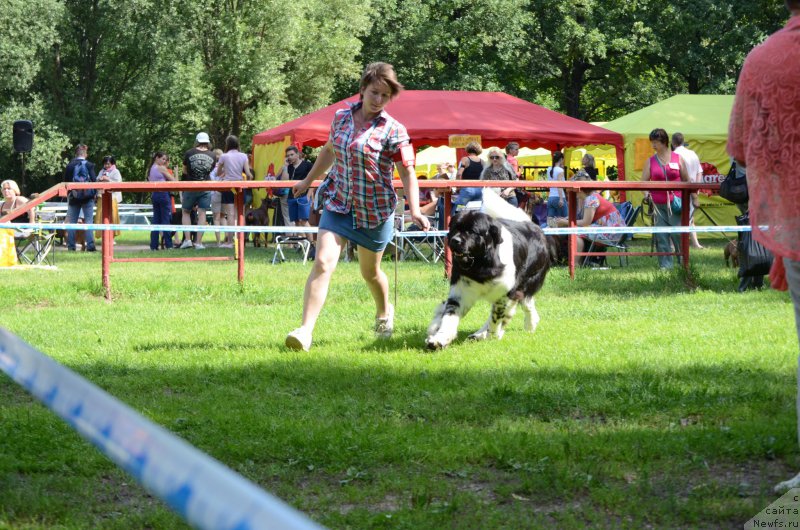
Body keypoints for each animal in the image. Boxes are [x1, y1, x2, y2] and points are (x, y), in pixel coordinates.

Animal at [424, 188, 552, 348]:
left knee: (521, 304)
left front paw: (492, 335)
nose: (455, 240)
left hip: (527, 281)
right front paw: (439, 339)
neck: (481, 264)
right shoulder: (461, 291)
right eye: (454, 228)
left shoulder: (506, 292)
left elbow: (496, 317)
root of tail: (532, 225)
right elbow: (449, 316)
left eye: (472, 231)